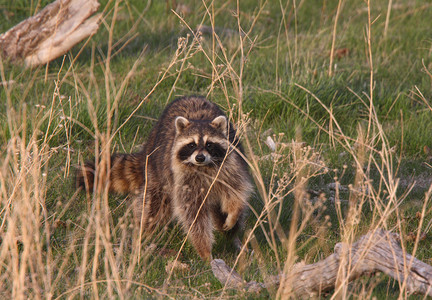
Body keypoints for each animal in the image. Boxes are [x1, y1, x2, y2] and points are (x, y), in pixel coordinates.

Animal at [77, 96, 253, 260]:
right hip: (158, 173)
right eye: (192, 145)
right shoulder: (183, 180)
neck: (203, 168)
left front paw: (233, 215)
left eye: (209, 144)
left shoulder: (230, 166)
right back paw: (142, 233)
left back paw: (233, 237)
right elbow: (193, 215)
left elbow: (236, 192)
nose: (200, 157)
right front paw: (205, 250)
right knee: (153, 206)